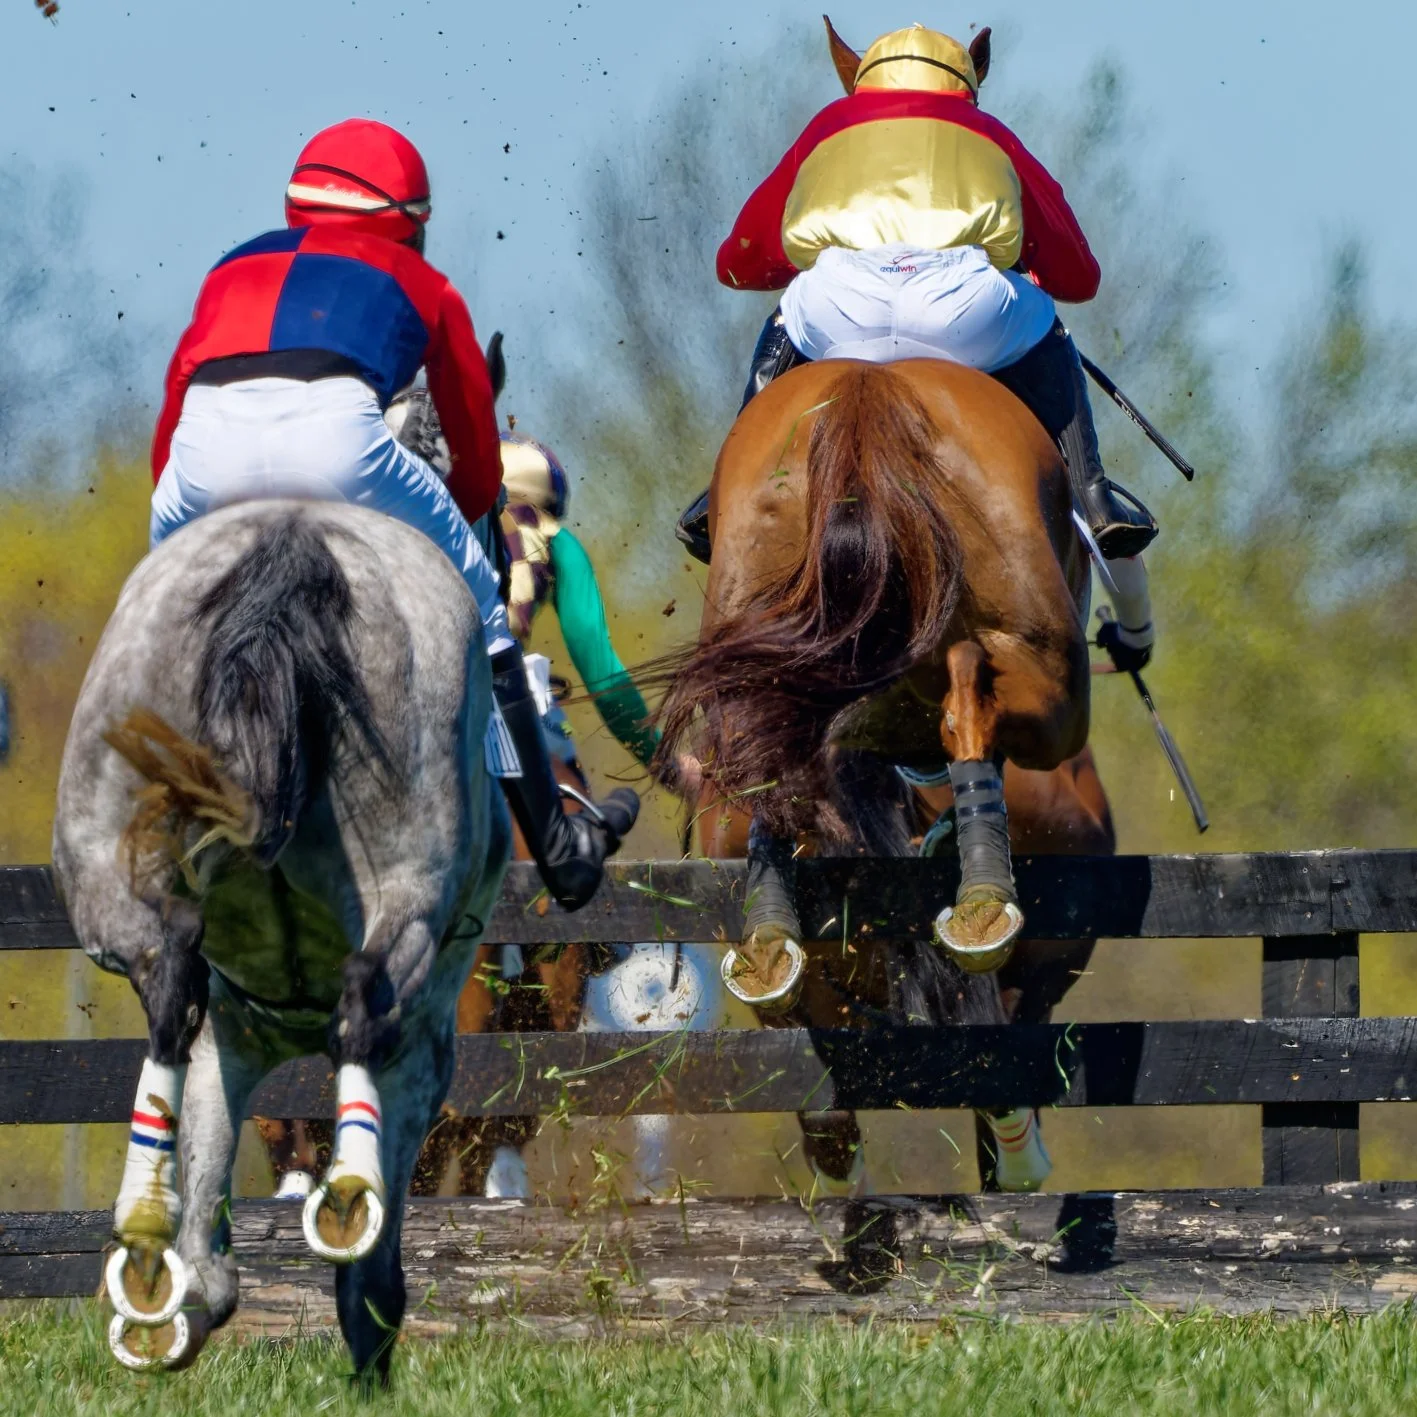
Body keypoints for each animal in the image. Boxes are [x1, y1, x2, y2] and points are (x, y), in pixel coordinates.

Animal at [52, 502, 511, 1385]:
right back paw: (347, 1199)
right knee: (366, 998)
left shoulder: (223, 1040)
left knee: (168, 980)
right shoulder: (422, 1053)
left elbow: (207, 1213)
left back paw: (143, 1241)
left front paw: (177, 1296)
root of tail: (292, 533)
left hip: (103, 864)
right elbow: (372, 1285)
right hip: (405, 881)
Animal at [657, 356, 1095, 1189]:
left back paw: (773, 940)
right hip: (1045, 676)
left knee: (769, 748)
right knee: (965, 687)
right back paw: (980, 904)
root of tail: (869, 390)